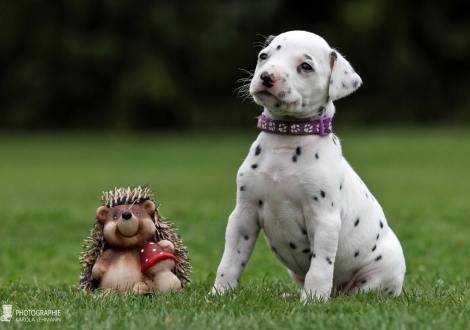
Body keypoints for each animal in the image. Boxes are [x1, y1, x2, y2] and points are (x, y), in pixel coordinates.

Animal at [212, 31, 404, 302]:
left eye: (305, 66)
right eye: (263, 56)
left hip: (382, 271)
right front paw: (219, 294)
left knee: (361, 291)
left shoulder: (324, 221)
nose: (267, 76)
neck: (286, 139)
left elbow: (320, 266)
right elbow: (230, 261)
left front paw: (313, 301)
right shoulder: (243, 215)